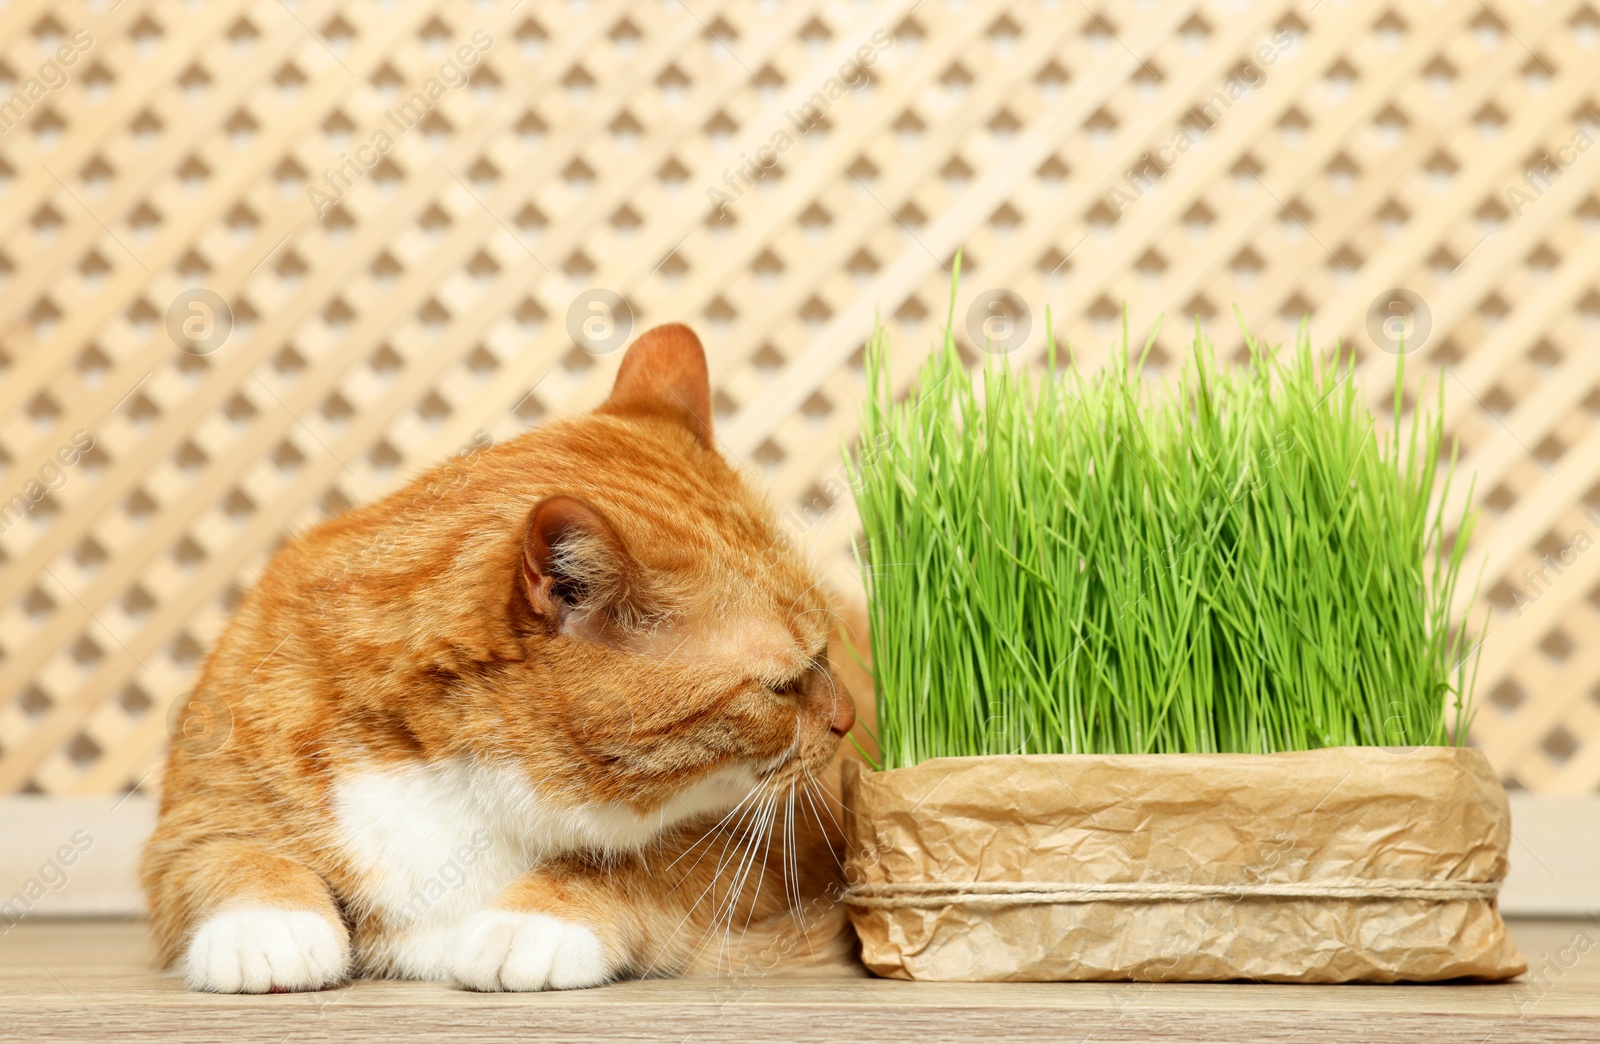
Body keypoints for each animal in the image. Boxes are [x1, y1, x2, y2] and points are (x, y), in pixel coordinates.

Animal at [140, 326, 864, 992]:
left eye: (827, 649)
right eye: (781, 687)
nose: (847, 720)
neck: (459, 775)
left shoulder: (762, 862)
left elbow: (624, 865)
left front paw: (536, 921)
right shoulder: (191, 824)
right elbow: (235, 857)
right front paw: (267, 927)